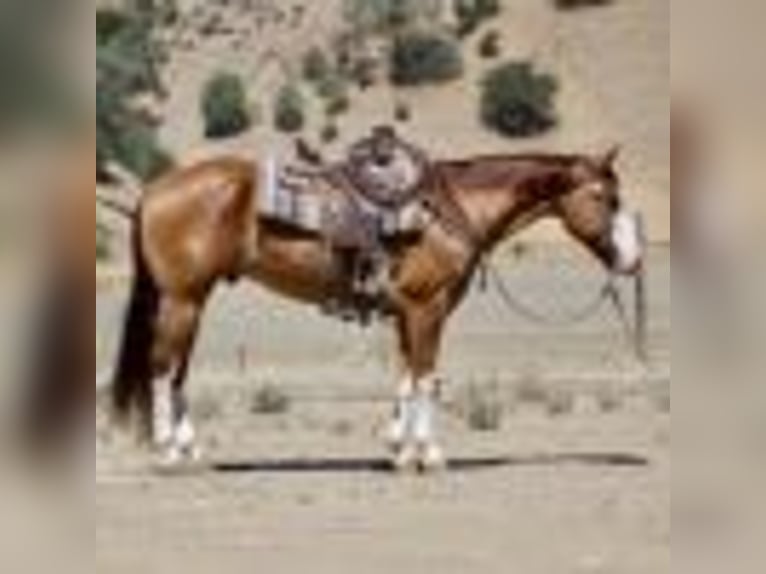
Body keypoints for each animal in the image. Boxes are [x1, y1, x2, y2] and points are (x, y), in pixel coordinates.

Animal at [109, 147, 643, 470]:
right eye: (605, 196)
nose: (632, 260)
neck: (450, 210)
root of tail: (155, 189)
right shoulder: (429, 308)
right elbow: (427, 377)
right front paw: (430, 454)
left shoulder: (407, 312)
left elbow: (405, 377)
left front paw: (399, 451)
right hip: (182, 299)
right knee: (162, 369)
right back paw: (167, 453)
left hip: (193, 300)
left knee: (177, 372)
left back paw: (190, 448)